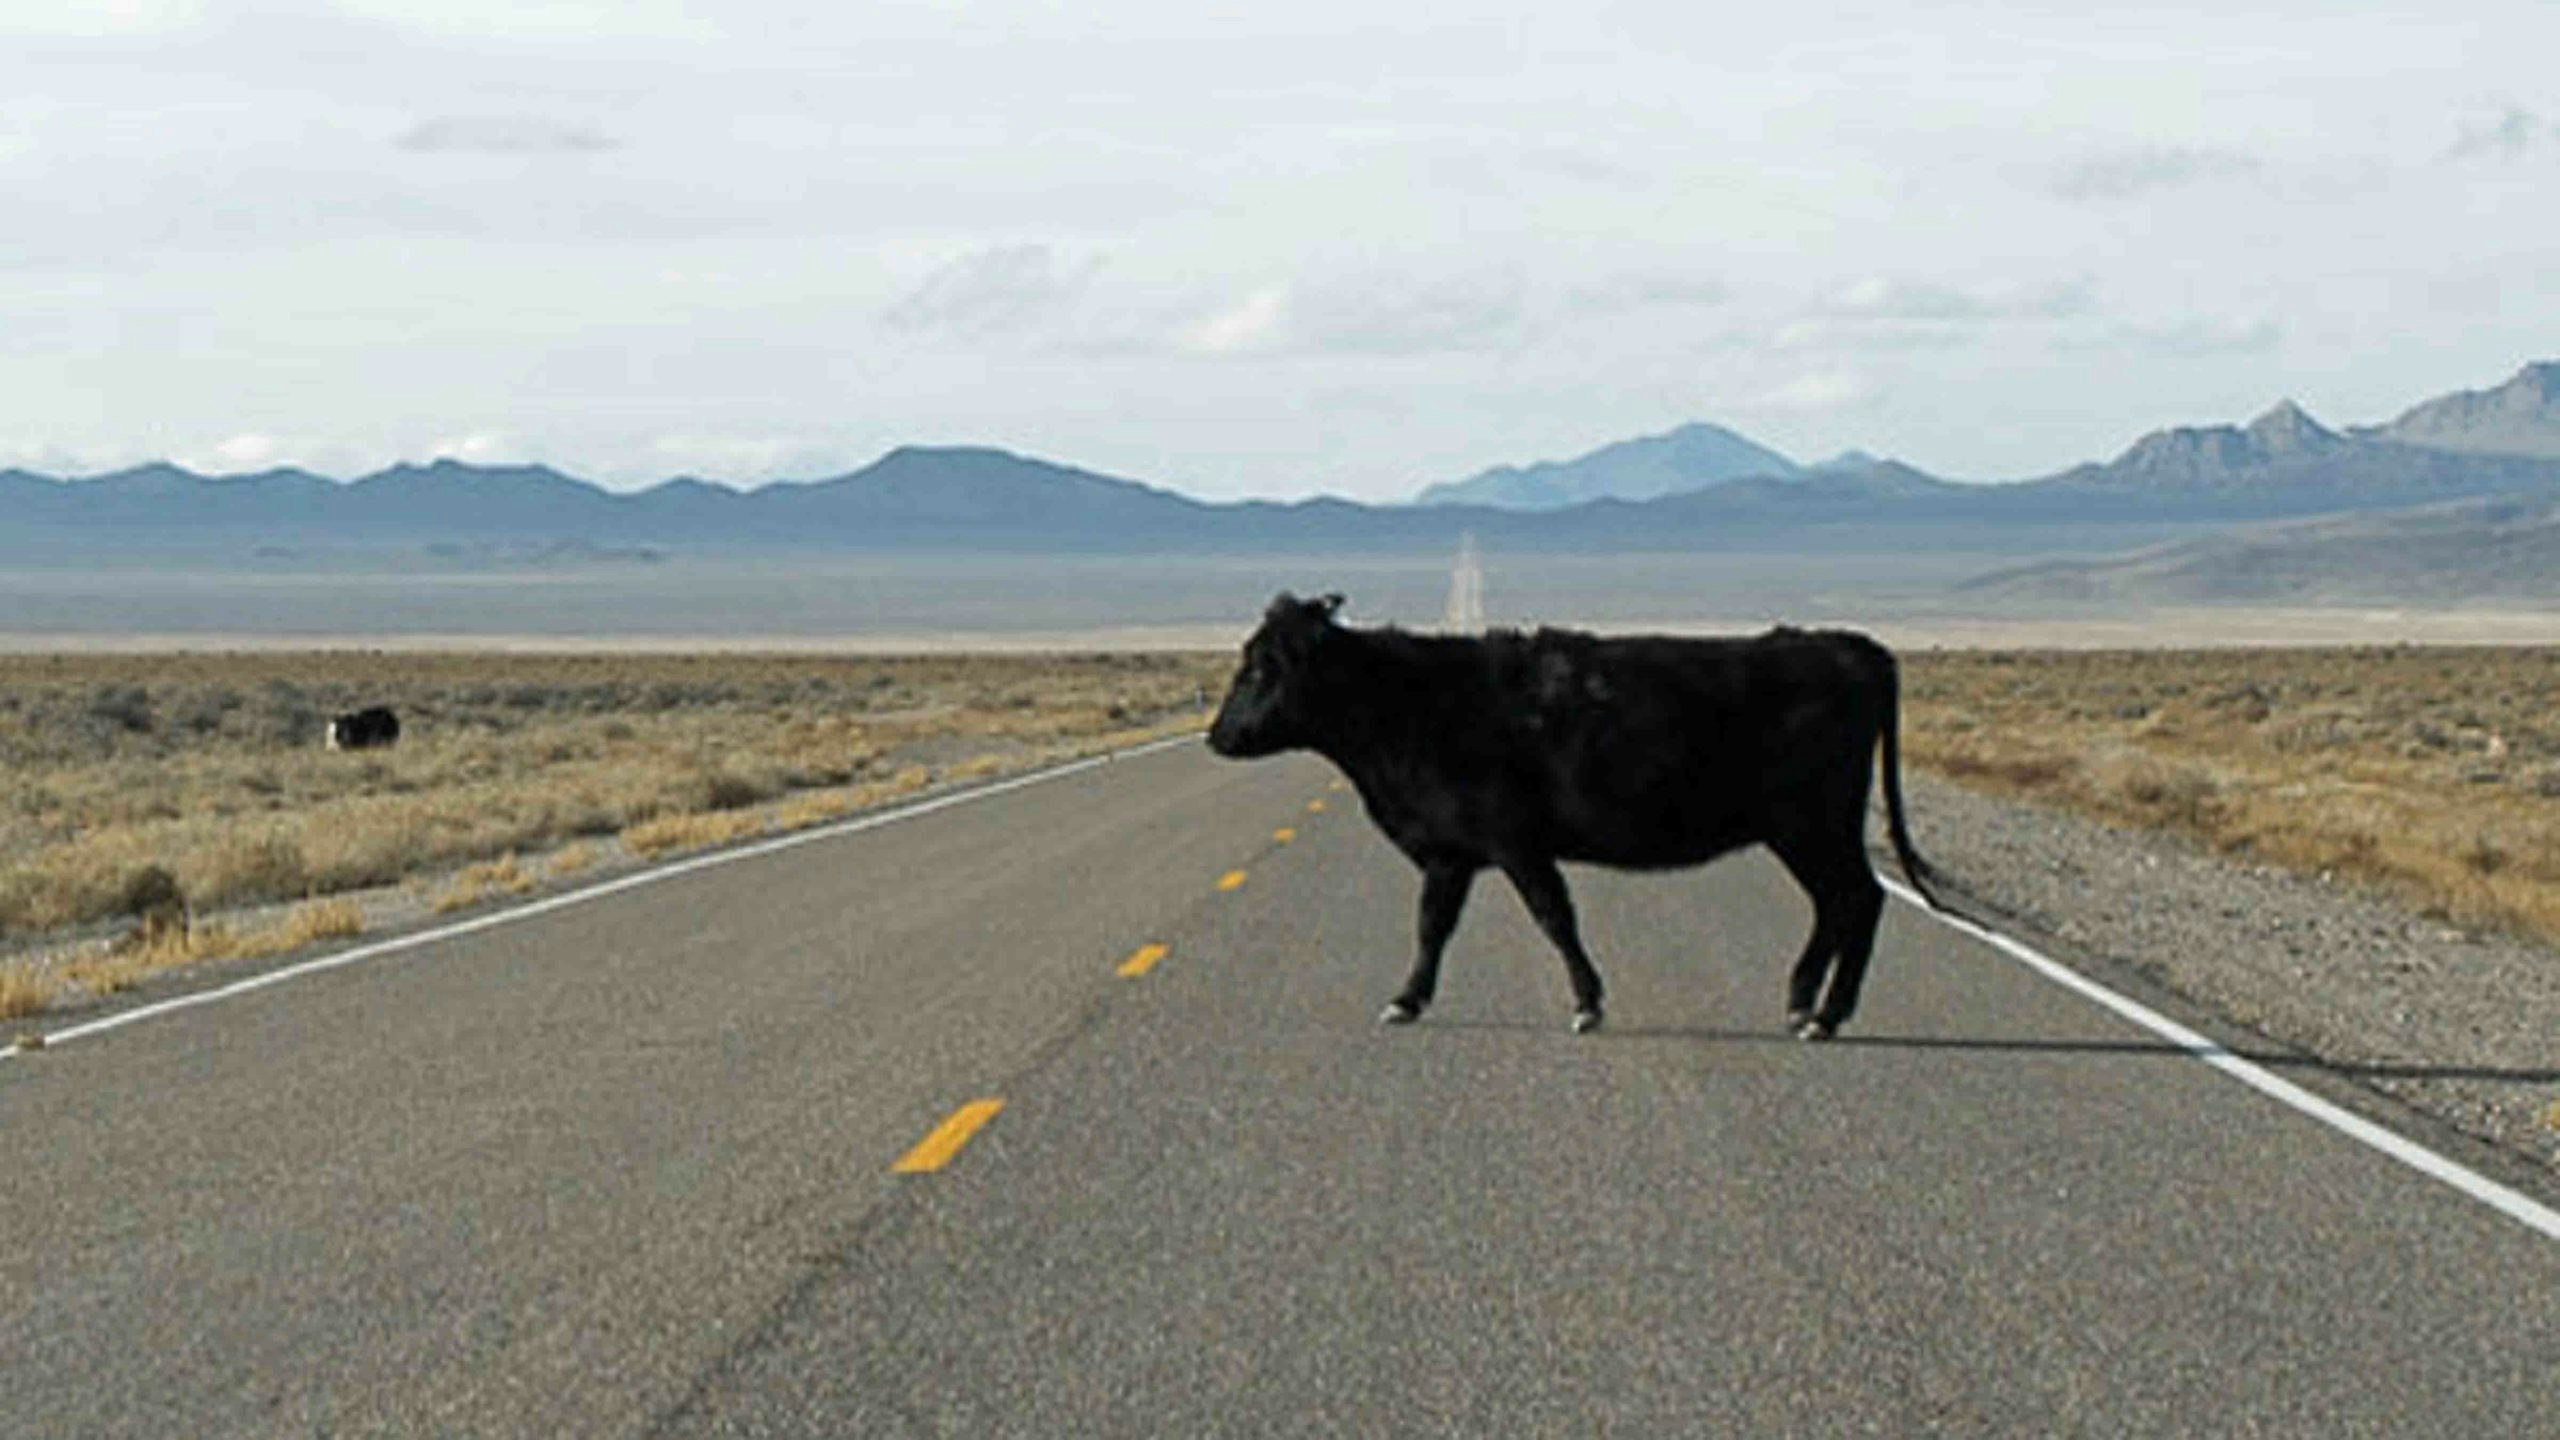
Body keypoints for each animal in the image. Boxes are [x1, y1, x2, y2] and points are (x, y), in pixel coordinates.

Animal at [1205, 593, 1938, 1040]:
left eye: (1262, 668)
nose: (1217, 735)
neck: (1410, 706)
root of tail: (1848, 645)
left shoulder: (1516, 841)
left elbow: (1553, 917)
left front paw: (1587, 1003)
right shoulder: (1449, 851)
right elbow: (1432, 927)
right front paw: (1405, 1000)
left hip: (1810, 824)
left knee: (1856, 899)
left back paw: (1822, 1013)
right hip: (1810, 829)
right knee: (1844, 903)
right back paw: (1805, 1004)